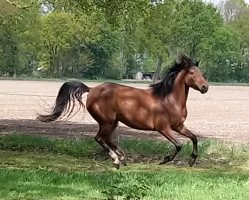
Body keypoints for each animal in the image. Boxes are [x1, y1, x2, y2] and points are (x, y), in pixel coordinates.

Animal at [37, 54, 208, 169]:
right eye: (192, 73)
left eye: (201, 72)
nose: (205, 87)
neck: (169, 100)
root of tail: (92, 89)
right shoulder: (163, 128)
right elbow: (179, 145)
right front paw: (165, 160)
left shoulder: (178, 126)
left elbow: (194, 138)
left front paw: (192, 160)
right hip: (107, 122)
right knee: (100, 139)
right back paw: (116, 160)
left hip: (113, 122)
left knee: (107, 139)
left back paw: (123, 158)